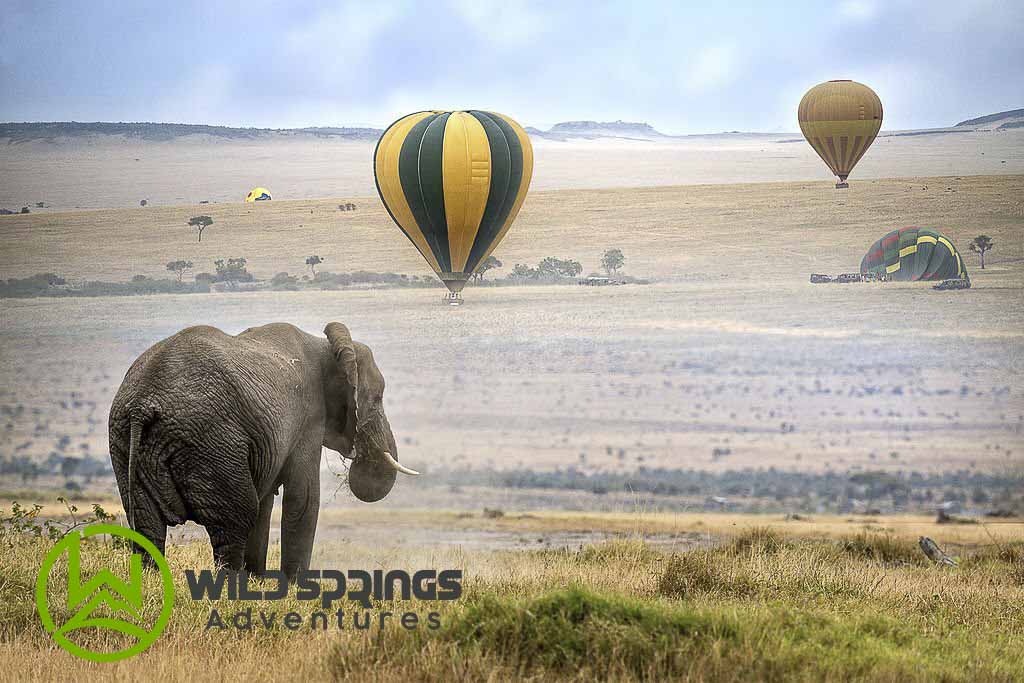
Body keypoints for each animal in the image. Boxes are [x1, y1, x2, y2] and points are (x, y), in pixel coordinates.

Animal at [108, 323, 415, 581]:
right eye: (377, 398)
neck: (326, 346)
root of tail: (142, 404)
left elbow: (266, 501)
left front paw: (259, 580)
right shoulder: (309, 419)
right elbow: (303, 499)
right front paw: (294, 587)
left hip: (125, 443)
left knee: (147, 526)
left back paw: (152, 582)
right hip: (211, 442)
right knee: (236, 518)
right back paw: (230, 586)